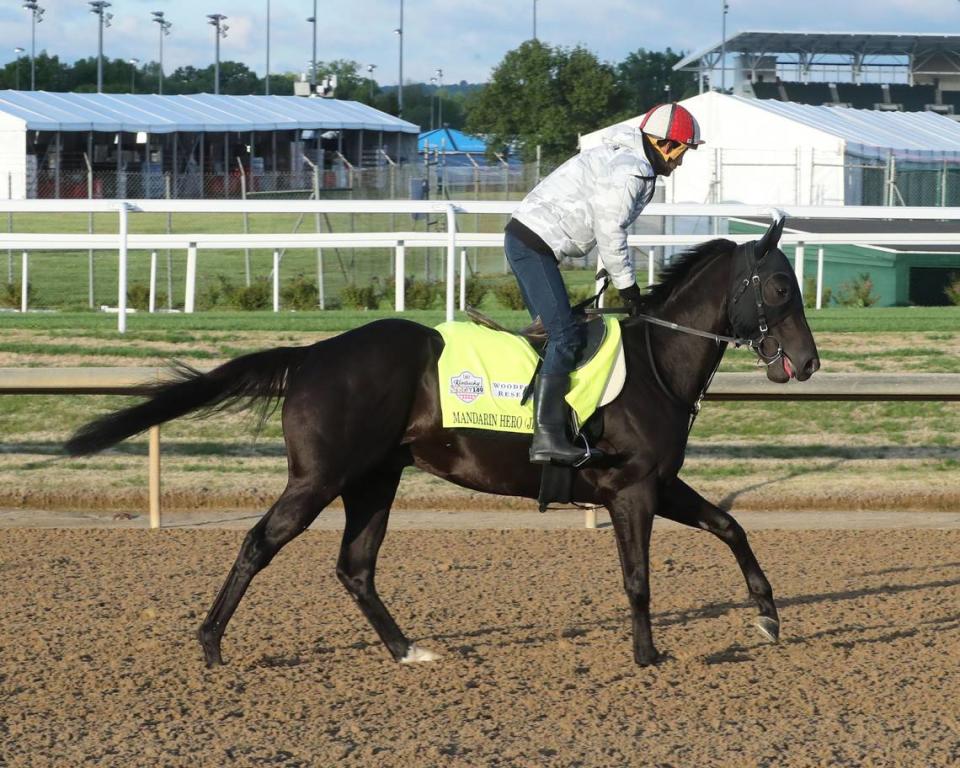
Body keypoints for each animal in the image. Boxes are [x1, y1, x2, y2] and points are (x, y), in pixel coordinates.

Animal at [65, 218, 816, 664]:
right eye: (781, 286)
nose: (808, 363)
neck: (657, 361)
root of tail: (311, 357)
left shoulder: (659, 483)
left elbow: (730, 526)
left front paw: (768, 618)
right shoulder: (631, 490)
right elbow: (638, 577)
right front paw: (650, 655)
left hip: (375, 478)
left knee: (355, 566)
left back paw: (407, 650)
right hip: (320, 477)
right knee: (260, 542)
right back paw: (211, 642)